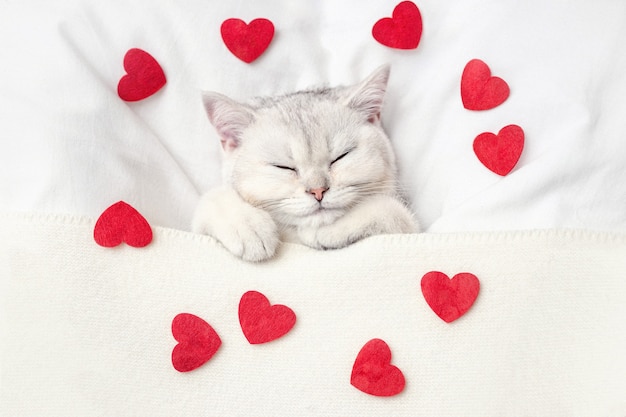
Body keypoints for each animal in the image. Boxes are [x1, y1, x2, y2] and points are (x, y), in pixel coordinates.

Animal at [190, 65, 414, 260]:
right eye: (283, 167)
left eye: (341, 156)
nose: (318, 191)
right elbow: (213, 198)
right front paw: (247, 225)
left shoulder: (408, 227)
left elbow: (394, 213)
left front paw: (328, 230)